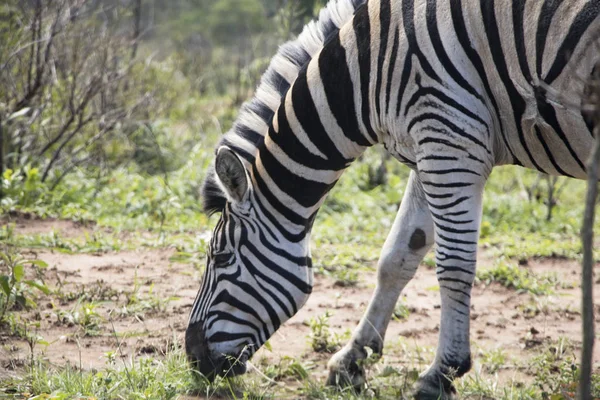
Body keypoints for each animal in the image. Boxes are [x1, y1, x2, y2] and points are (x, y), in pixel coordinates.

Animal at [185, 0, 600, 396]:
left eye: (220, 257)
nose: (193, 359)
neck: (366, 70)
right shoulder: (429, 145)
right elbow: (397, 256)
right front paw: (351, 361)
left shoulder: (449, 141)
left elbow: (453, 266)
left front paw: (442, 373)